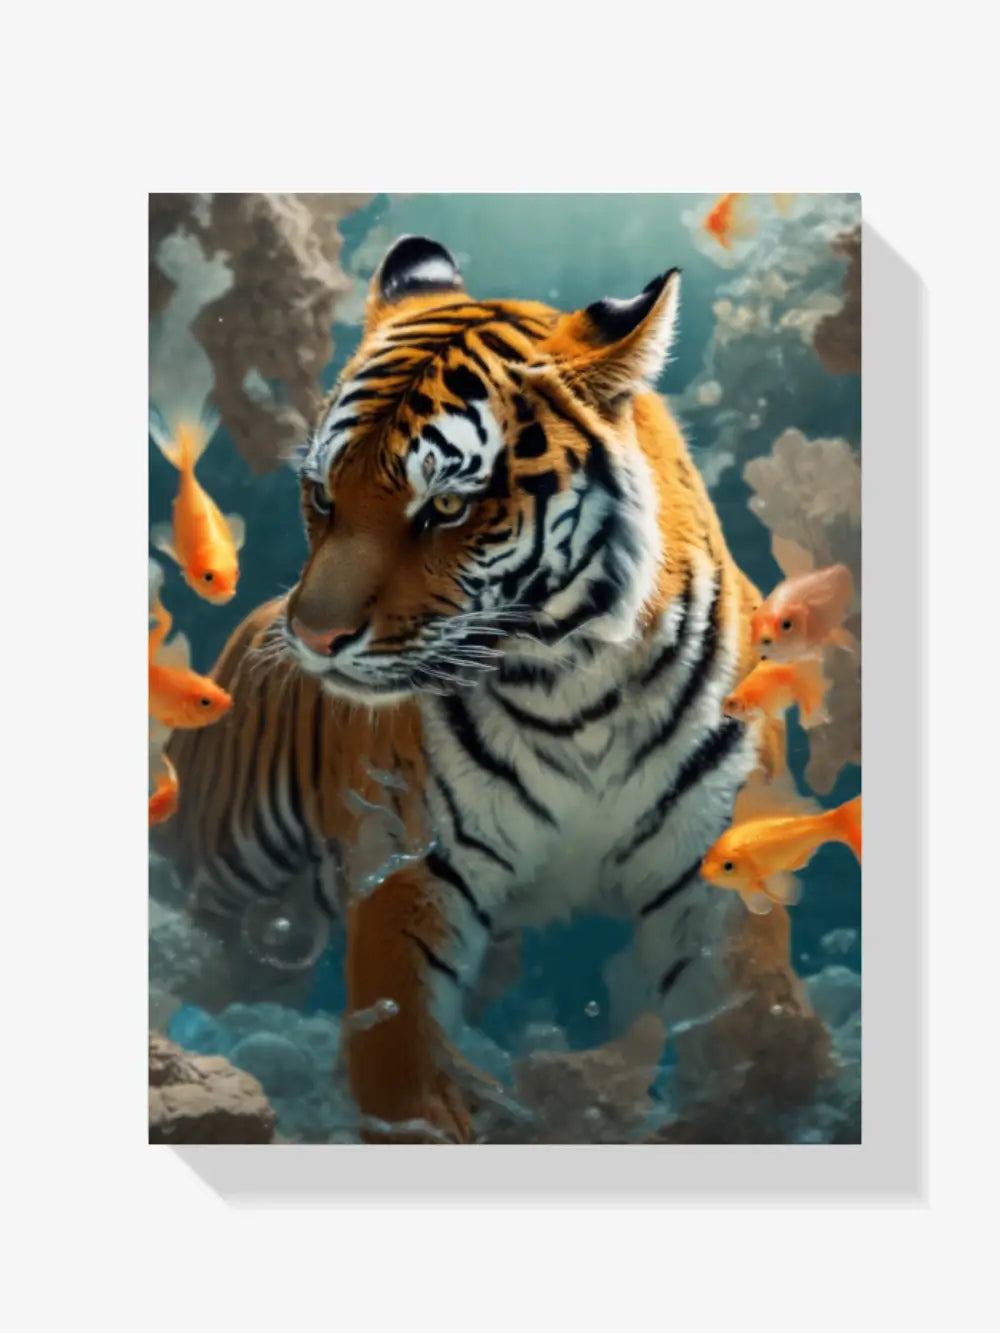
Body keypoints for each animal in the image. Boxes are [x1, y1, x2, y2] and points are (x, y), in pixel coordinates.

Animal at [161, 234, 830, 1143]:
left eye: (445, 506)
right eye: (322, 493)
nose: (314, 640)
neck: (573, 681)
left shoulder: (713, 865)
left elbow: (742, 1026)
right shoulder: (412, 860)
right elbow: (400, 1040)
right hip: (227, 863)